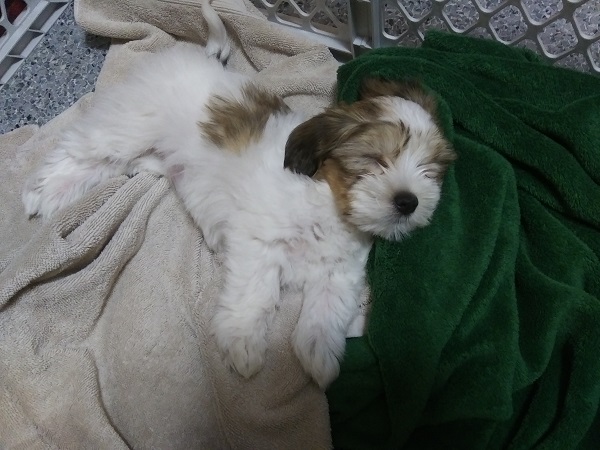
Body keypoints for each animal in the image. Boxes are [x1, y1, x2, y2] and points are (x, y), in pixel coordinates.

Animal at [22, 3, 454, 386]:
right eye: (374, 160)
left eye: (431, 171)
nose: (408, 201)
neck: (326, 202)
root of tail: (198, 55)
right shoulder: (256, 244)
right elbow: (254, 295)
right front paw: (244, 343)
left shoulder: (339, 273)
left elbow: (326, 312)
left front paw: (319, 356)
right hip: (129, 126)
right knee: (80, 151)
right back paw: (43, 193)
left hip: (146, 152)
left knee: (112, 166)